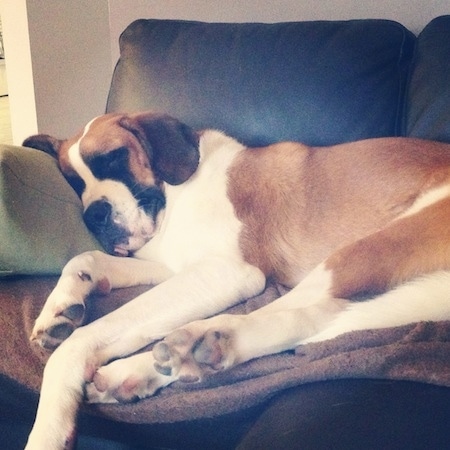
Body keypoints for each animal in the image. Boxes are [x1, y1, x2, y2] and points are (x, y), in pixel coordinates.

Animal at [23, 110, 450, 448]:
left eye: (114, 160)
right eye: (74, 183)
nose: (93, 215)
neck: (173, 195)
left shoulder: (227, 272)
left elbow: (90, 335)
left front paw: (49, 425)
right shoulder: (174, 267)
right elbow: (87, 258)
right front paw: (59, 311)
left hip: (368, 248)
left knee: (293, 313)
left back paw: (170, 356)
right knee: (330, 314)